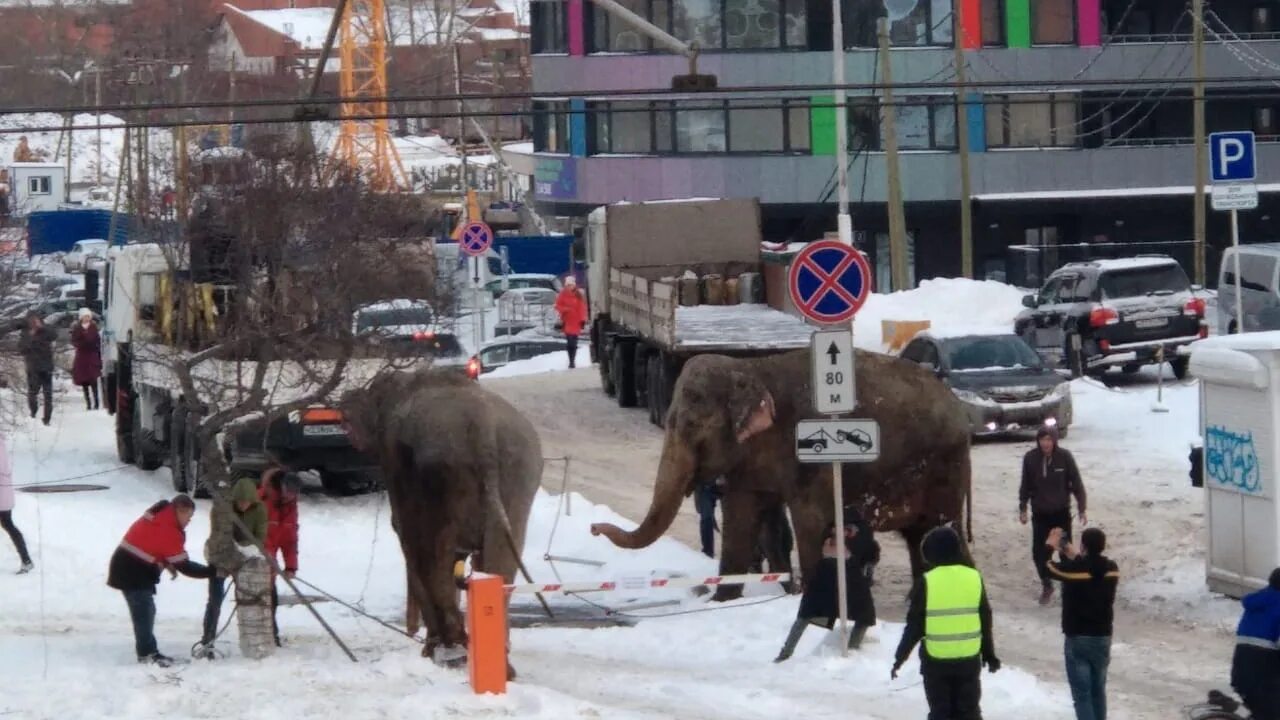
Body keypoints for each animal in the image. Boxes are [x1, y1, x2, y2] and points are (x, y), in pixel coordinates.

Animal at [340, 366, 540, 671]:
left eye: (372, 388)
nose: (345, 397)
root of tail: (482, 425)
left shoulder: (394, 461)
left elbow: (404, 532)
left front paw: (431, 648)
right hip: (520, 470)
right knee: (499, 559)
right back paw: (497, 662)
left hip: (442, 473)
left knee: (435, 548)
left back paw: (450, 650)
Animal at [588, 345, 967, 597]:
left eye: (692, 426)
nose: (593, 528)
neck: (750, 368)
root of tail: (959, 407)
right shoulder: (750, 462)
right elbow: (741, 517)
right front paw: (724, 600)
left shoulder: (806, 453)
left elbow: (809, 521)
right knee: (920, 539)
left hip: (944, 468)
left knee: (940, 530)